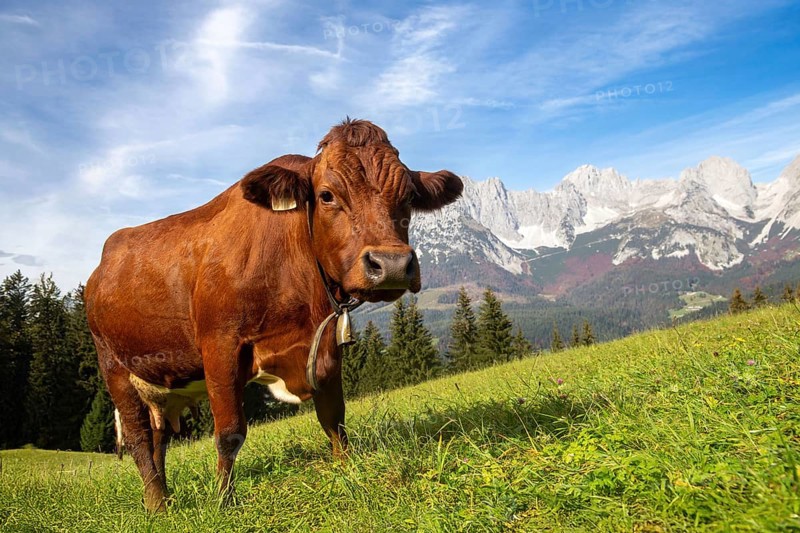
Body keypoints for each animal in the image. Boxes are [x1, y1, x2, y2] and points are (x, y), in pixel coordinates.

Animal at [85, 119, 463, 511]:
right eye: (327, 195)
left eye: (409, 196)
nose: (391, 266)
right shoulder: (220, 347)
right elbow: (230, 432)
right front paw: (224, 502)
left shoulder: (324, 345)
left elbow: (334, 418)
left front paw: (347, 470)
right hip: (114, 367)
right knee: (139, 438)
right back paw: (158, 506)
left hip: (160, 385)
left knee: (158, 438)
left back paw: (163, 498)